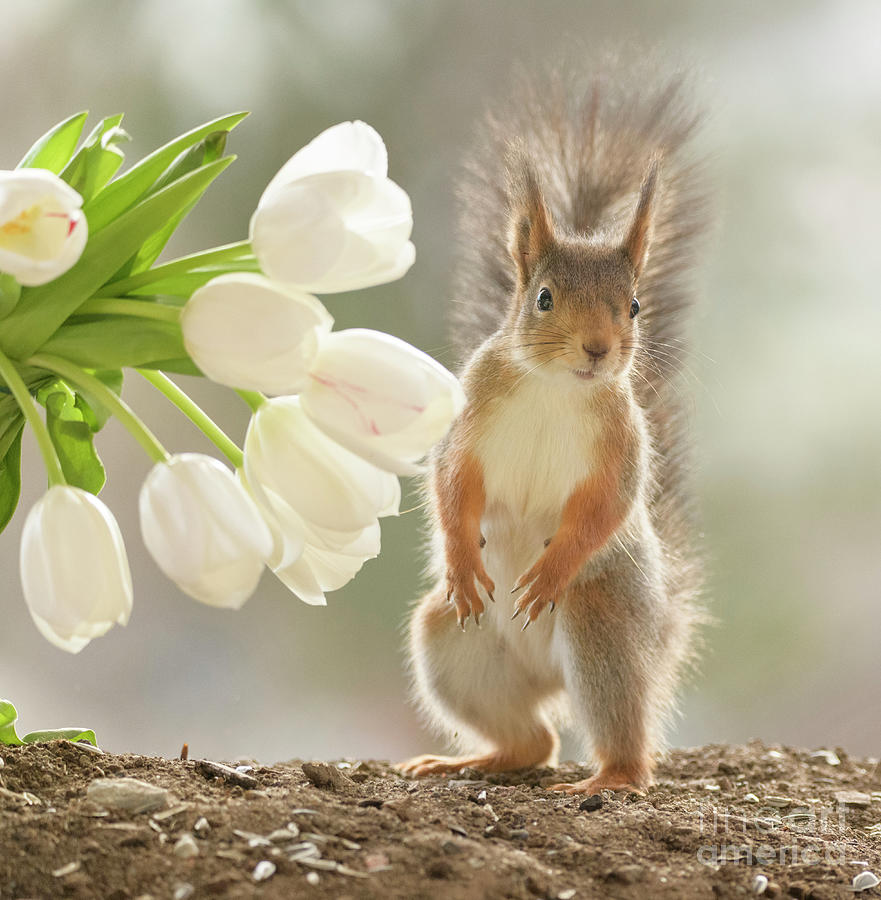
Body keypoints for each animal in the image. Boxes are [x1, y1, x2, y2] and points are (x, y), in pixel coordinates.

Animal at [398, 61, 708, 796]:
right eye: (542, 298)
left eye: (633, 306)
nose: (597, 350)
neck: (554, 389)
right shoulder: (470, 418)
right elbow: (452, 481)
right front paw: (460, 555)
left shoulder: (622, 441)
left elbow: (607, 505)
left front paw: (551, 568)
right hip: (451, 640)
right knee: (532, 740)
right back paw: (470, 759)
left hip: (601, 623)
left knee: (623, 735)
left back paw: (611, 777)